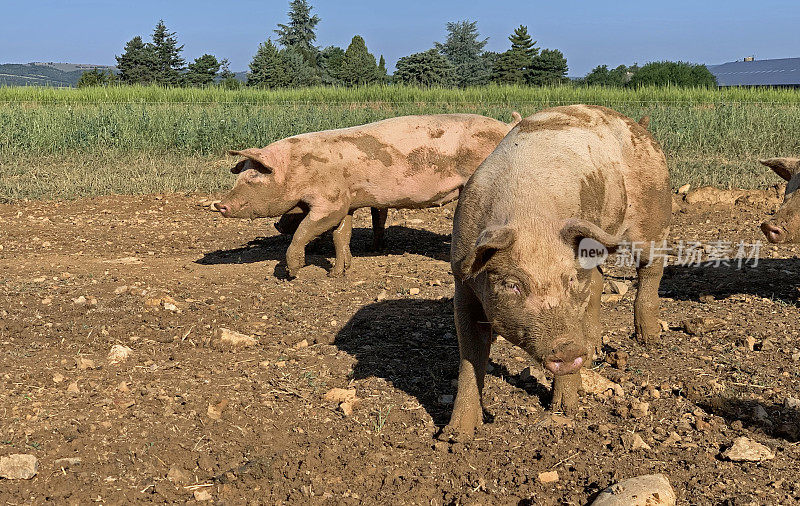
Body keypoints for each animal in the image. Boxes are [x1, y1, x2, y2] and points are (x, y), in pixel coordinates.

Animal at [216, 112, 520, 276]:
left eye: (254, 176)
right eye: (240, 175)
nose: (220, 205)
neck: (298, 170)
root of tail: (508, 127)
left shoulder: (330, 203)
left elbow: (306, 230)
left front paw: (293, 273)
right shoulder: (347, 202)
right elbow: (341, 236)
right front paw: (338, 273)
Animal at [446, 105, 672, 436]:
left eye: (568, 280)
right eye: (513, 284)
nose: (567, 348)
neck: (530, 219)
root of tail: (640, 127)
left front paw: (566, 411)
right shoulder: (462, 280)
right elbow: (469, 359)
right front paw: (456, 435)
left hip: (654, 212)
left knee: (650, 270)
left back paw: (649, 339)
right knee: (599, 282)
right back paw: (594, 353)